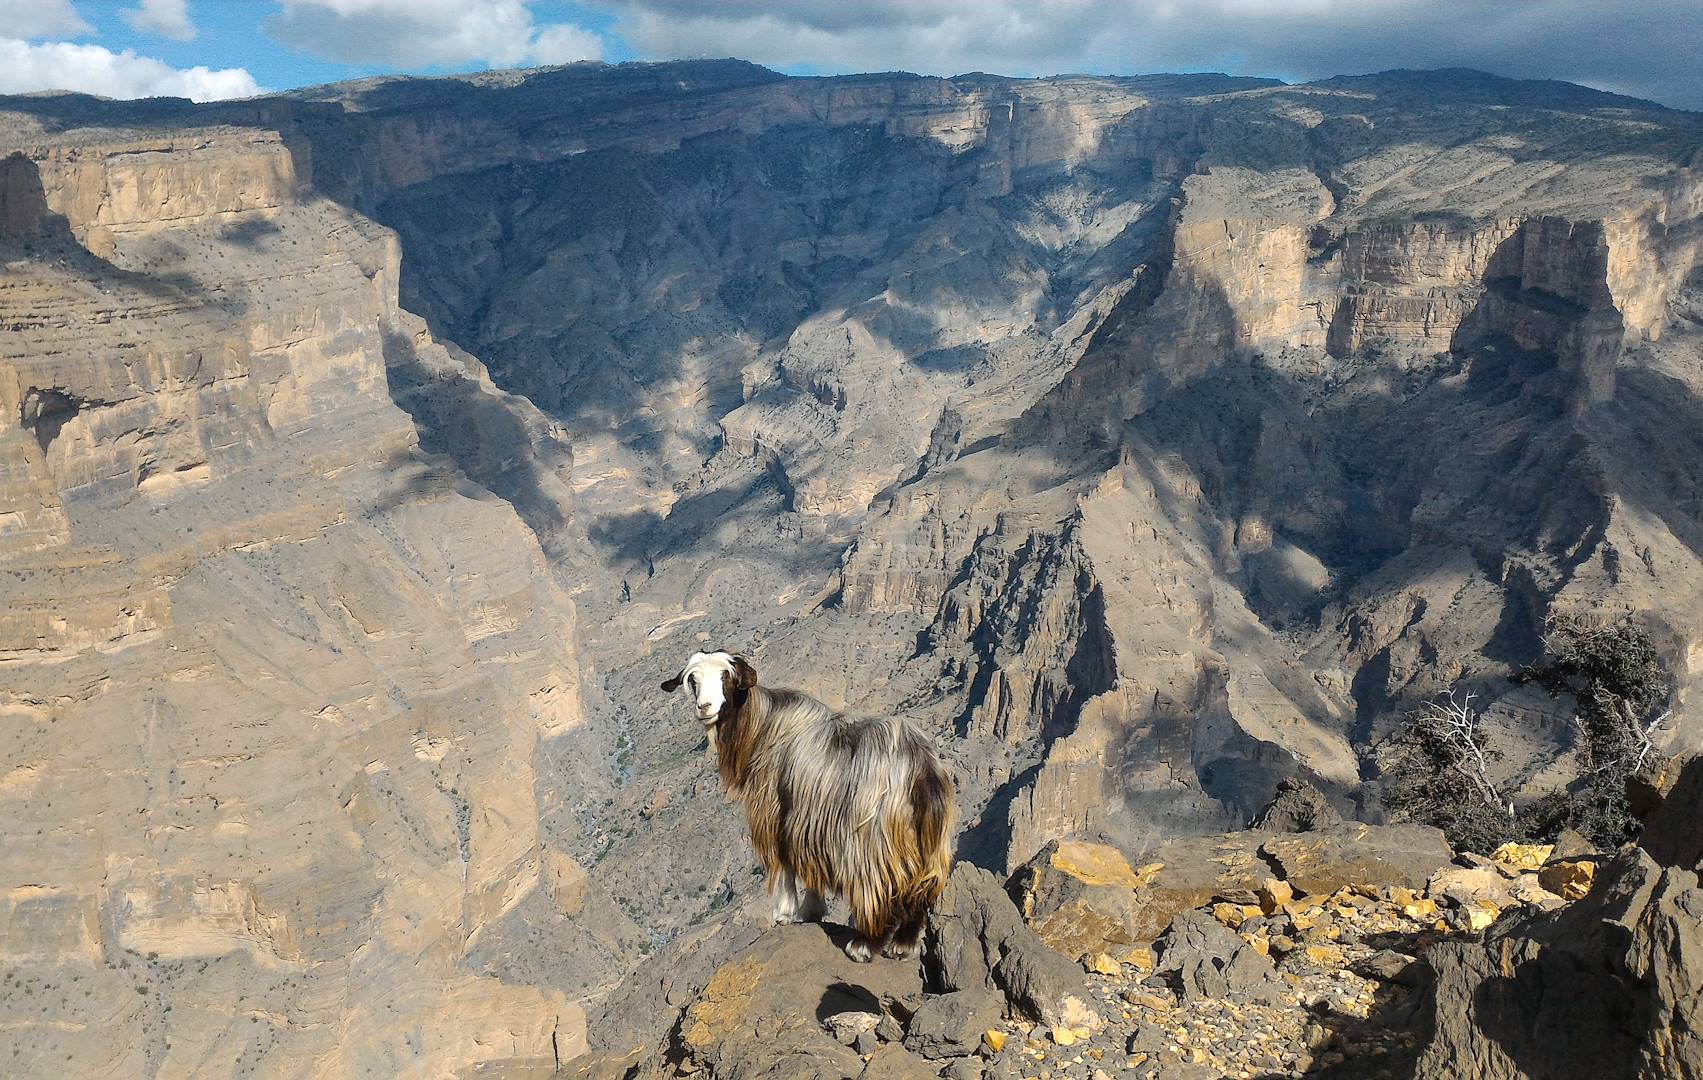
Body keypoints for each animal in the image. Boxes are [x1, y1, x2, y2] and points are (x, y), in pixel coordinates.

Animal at [661, 651, 954, 961]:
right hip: (929, 842)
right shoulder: (809, 821)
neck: (763, 726)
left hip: (868, 841)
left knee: (876, 890)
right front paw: (810, 911)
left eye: (725, 676)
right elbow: (811, 866)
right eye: (693, 680)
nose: (705, 707)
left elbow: (784, 864)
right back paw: (903, 944)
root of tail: (919, 767)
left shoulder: (776, 813)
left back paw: (863, 945)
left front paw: (785, 914)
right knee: (922, 888)